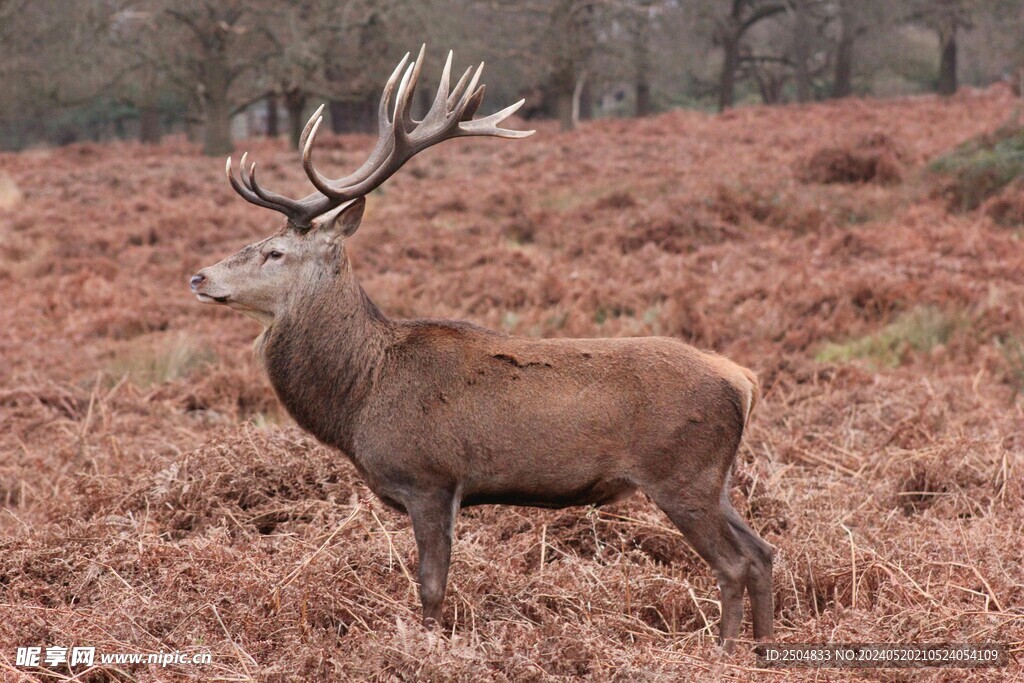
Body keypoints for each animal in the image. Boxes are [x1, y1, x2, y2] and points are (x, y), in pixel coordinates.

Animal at [190, 46, 774, 652]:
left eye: (275, 252)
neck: (360, 395)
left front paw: (428, 649)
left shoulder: (430, 477)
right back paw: (763, 651)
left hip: (682, 474)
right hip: (716, 478)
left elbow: (430, 586)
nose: (199, 276)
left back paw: (727, 652)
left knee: (734, 563)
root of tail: (744, 380)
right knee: (763, 552)